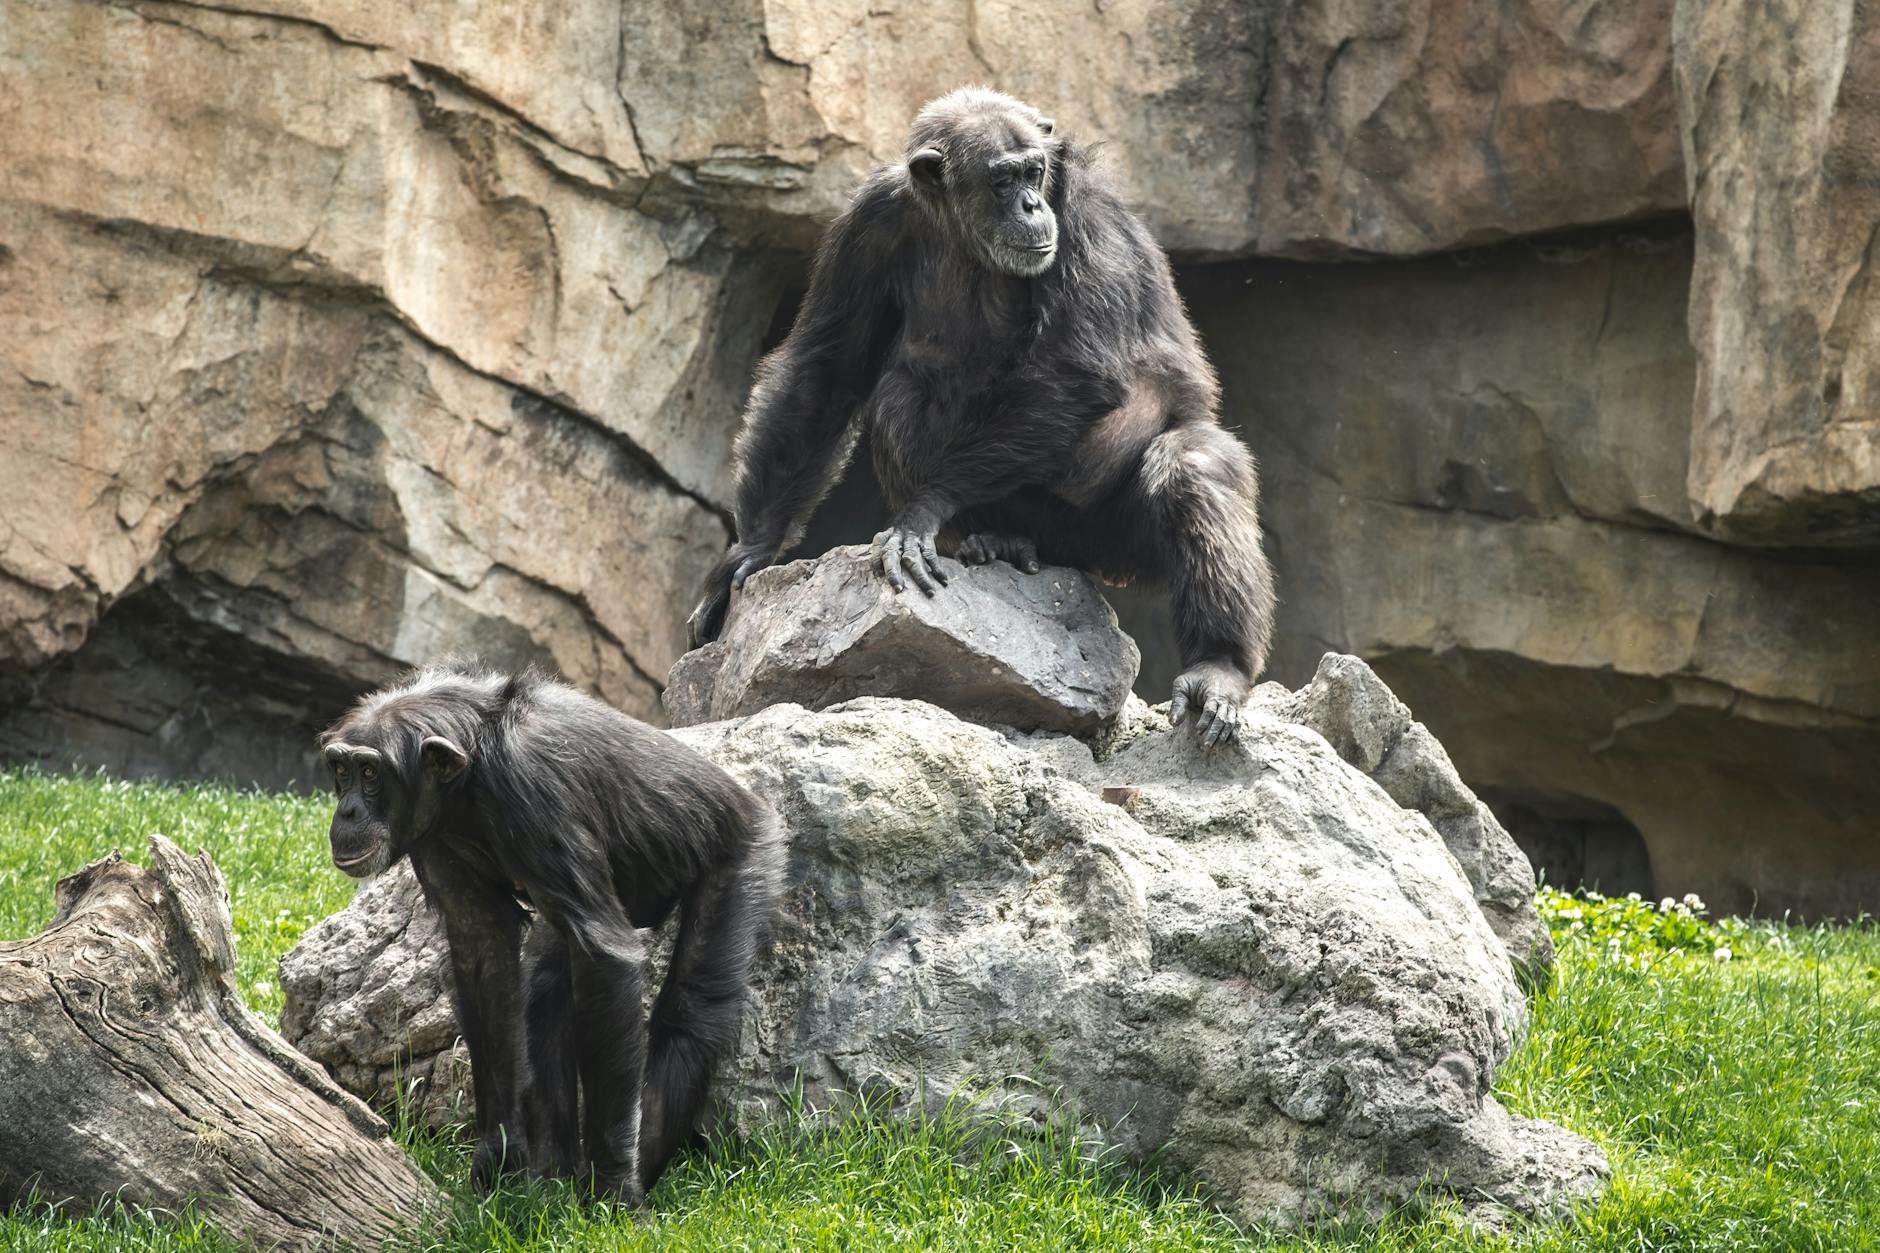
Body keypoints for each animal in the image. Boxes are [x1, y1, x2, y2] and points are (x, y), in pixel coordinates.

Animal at [319, 662, 784, 1204]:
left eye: (371, 774)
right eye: (341, 771)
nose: (348, 810)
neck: (474, 770)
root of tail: (751, 799)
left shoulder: (535, 790)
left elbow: (606, 956)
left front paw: (614, 1193)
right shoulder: (433, 835)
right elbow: (484, 952)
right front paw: (496, 1157)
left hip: (745, 852)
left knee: (691, 1008)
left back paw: (628, 1176)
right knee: (547, 994)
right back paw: (554, 1180)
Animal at [688, 87, 1275, 745]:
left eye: (1034, 172)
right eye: (1001, 179)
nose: (1029, 204)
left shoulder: (1088, 217)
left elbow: (1079, 371)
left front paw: (921, 512)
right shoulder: (866, 223)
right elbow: (827, 365)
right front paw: (750, 552)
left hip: (1117, 543)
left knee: (1194, 466)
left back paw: (1218, 667)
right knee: (902, 389)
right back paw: (997, 539)